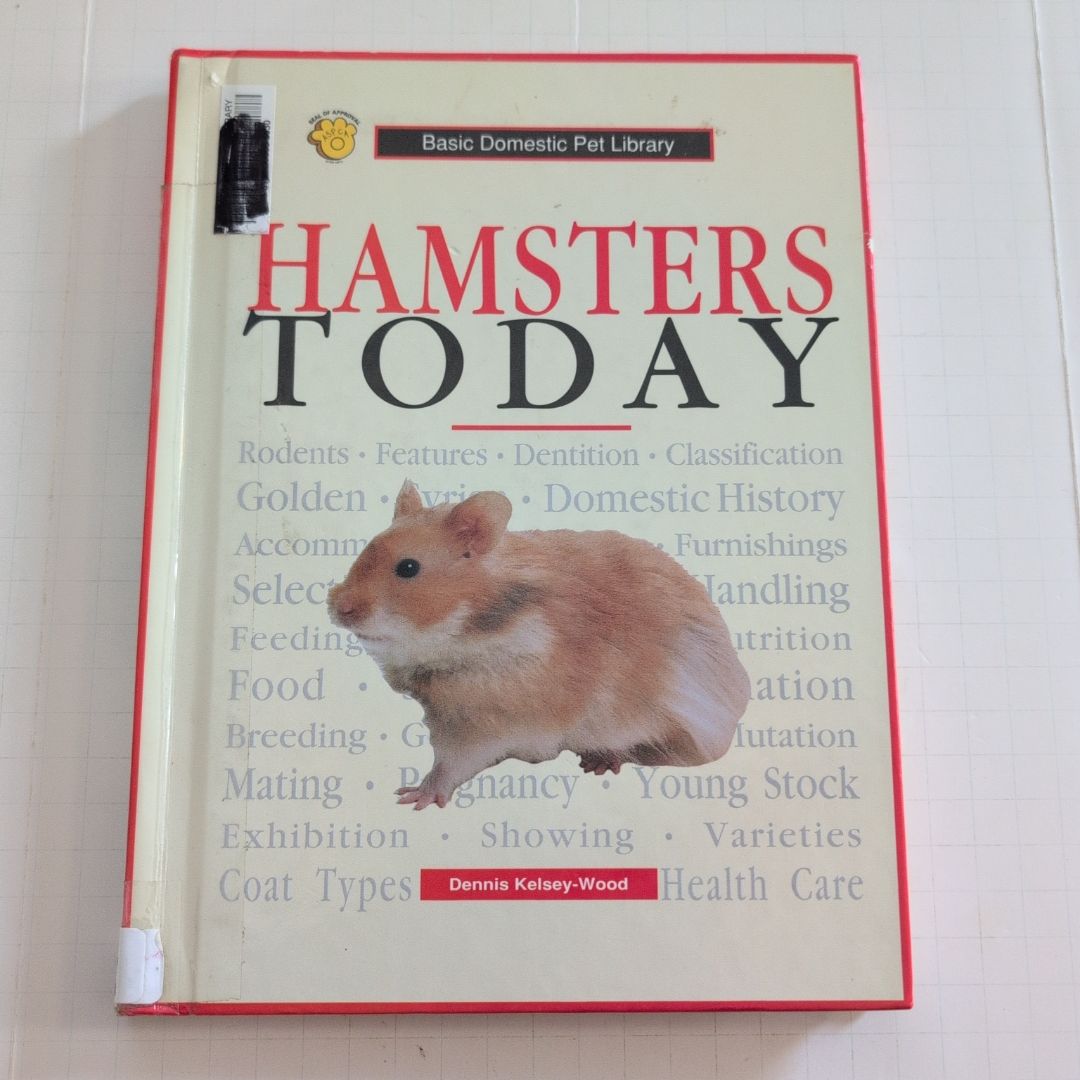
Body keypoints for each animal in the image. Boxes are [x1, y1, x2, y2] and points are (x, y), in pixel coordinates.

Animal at [328, 480, 751, 809]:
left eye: (408, 568)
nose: (336, 608)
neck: (471, 630)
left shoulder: (484, 722)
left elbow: (449, 764)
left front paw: (414, 797)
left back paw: (598, 762)